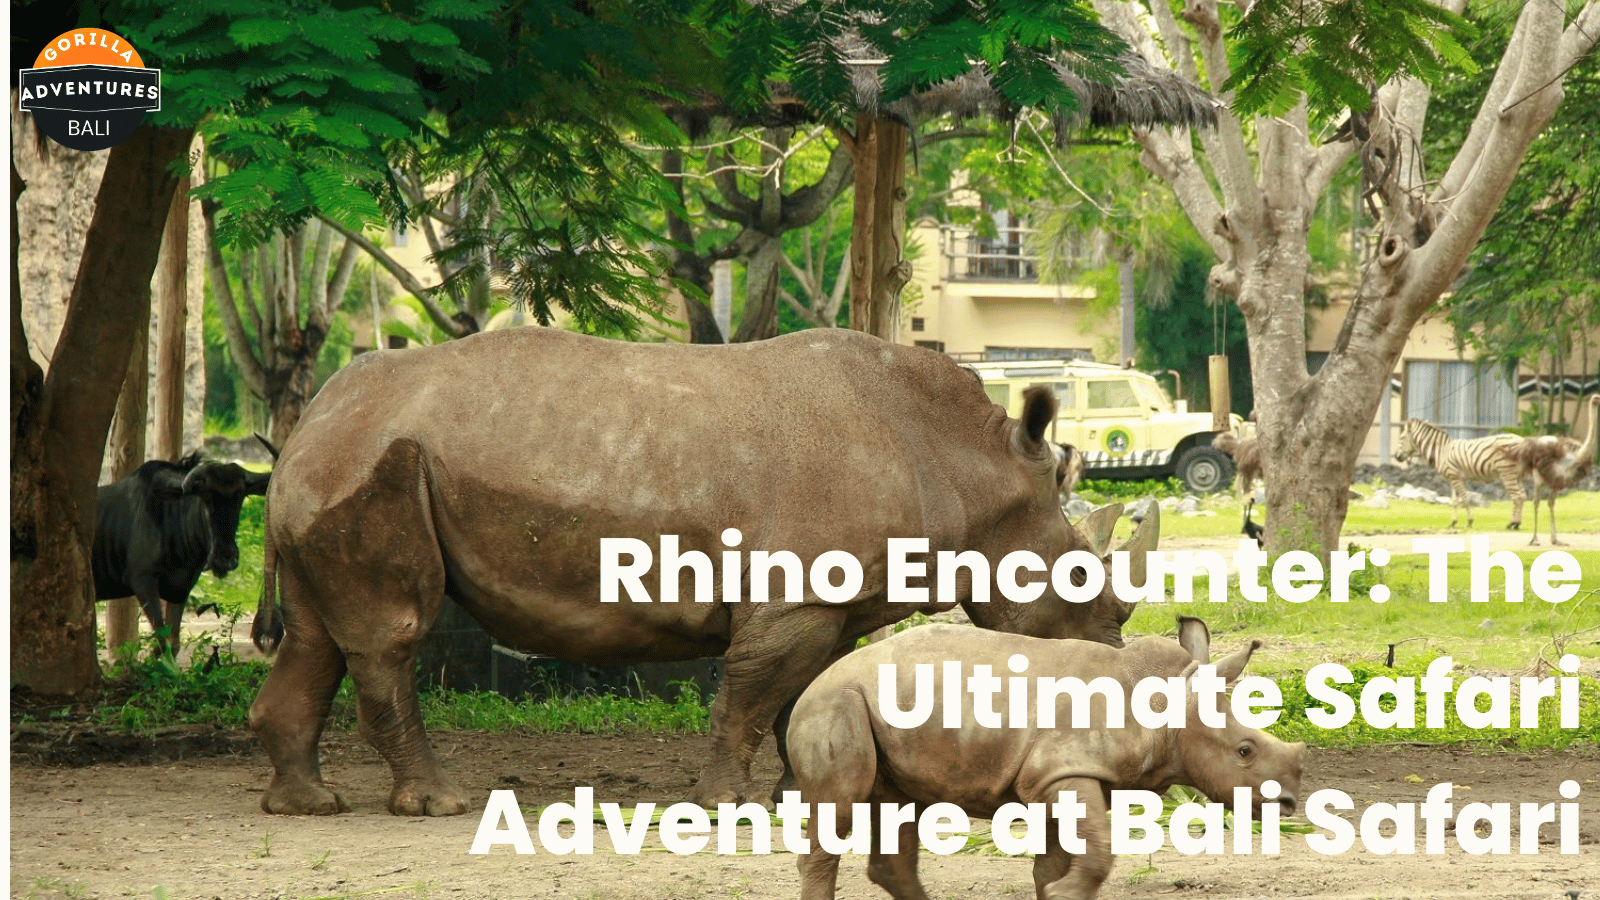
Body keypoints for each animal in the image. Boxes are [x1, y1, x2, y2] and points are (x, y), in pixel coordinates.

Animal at [247, 327, 1159, 816]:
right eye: (1088, 594)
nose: (1110, 674)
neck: (970, 466)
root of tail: (307, 422)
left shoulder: (829, 599)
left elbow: (806, 692)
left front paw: (808, 794)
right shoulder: (793, 598)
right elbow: (752, 694)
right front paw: (732, 805)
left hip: (335, 469)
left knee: (319, 637)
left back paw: (308, 804)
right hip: (374, 464)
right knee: (390, 635)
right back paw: (439, 804)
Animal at [785, 617, 1305, 900]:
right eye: (1244, 752)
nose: (1290, 803)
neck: (1167, 706)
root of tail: (808, 689)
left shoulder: (1059, 777)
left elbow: (1059, 862)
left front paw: (1057, 891)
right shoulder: (1062, 769)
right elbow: (1098, 852)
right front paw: (1065, 891)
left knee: (904, 807)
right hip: (834, 704)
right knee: (839, 811)